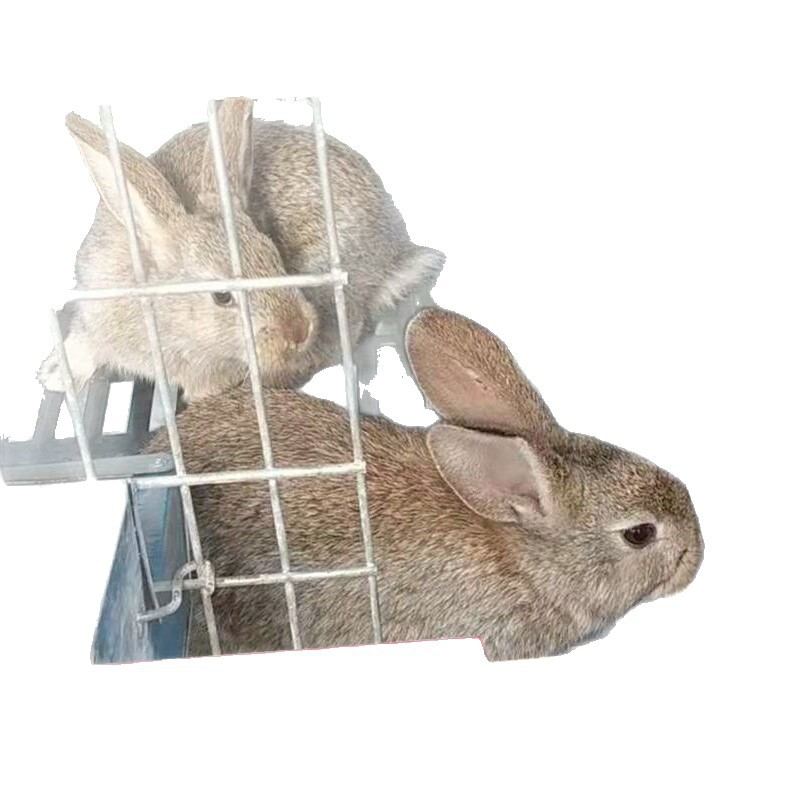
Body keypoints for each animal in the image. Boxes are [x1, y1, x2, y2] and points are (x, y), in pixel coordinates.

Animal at [39, 98, 446, 401]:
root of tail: (395, 253)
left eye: (275, 257)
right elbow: (85, 348)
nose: (298, 330)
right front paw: (54, 375)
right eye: (221, 297)